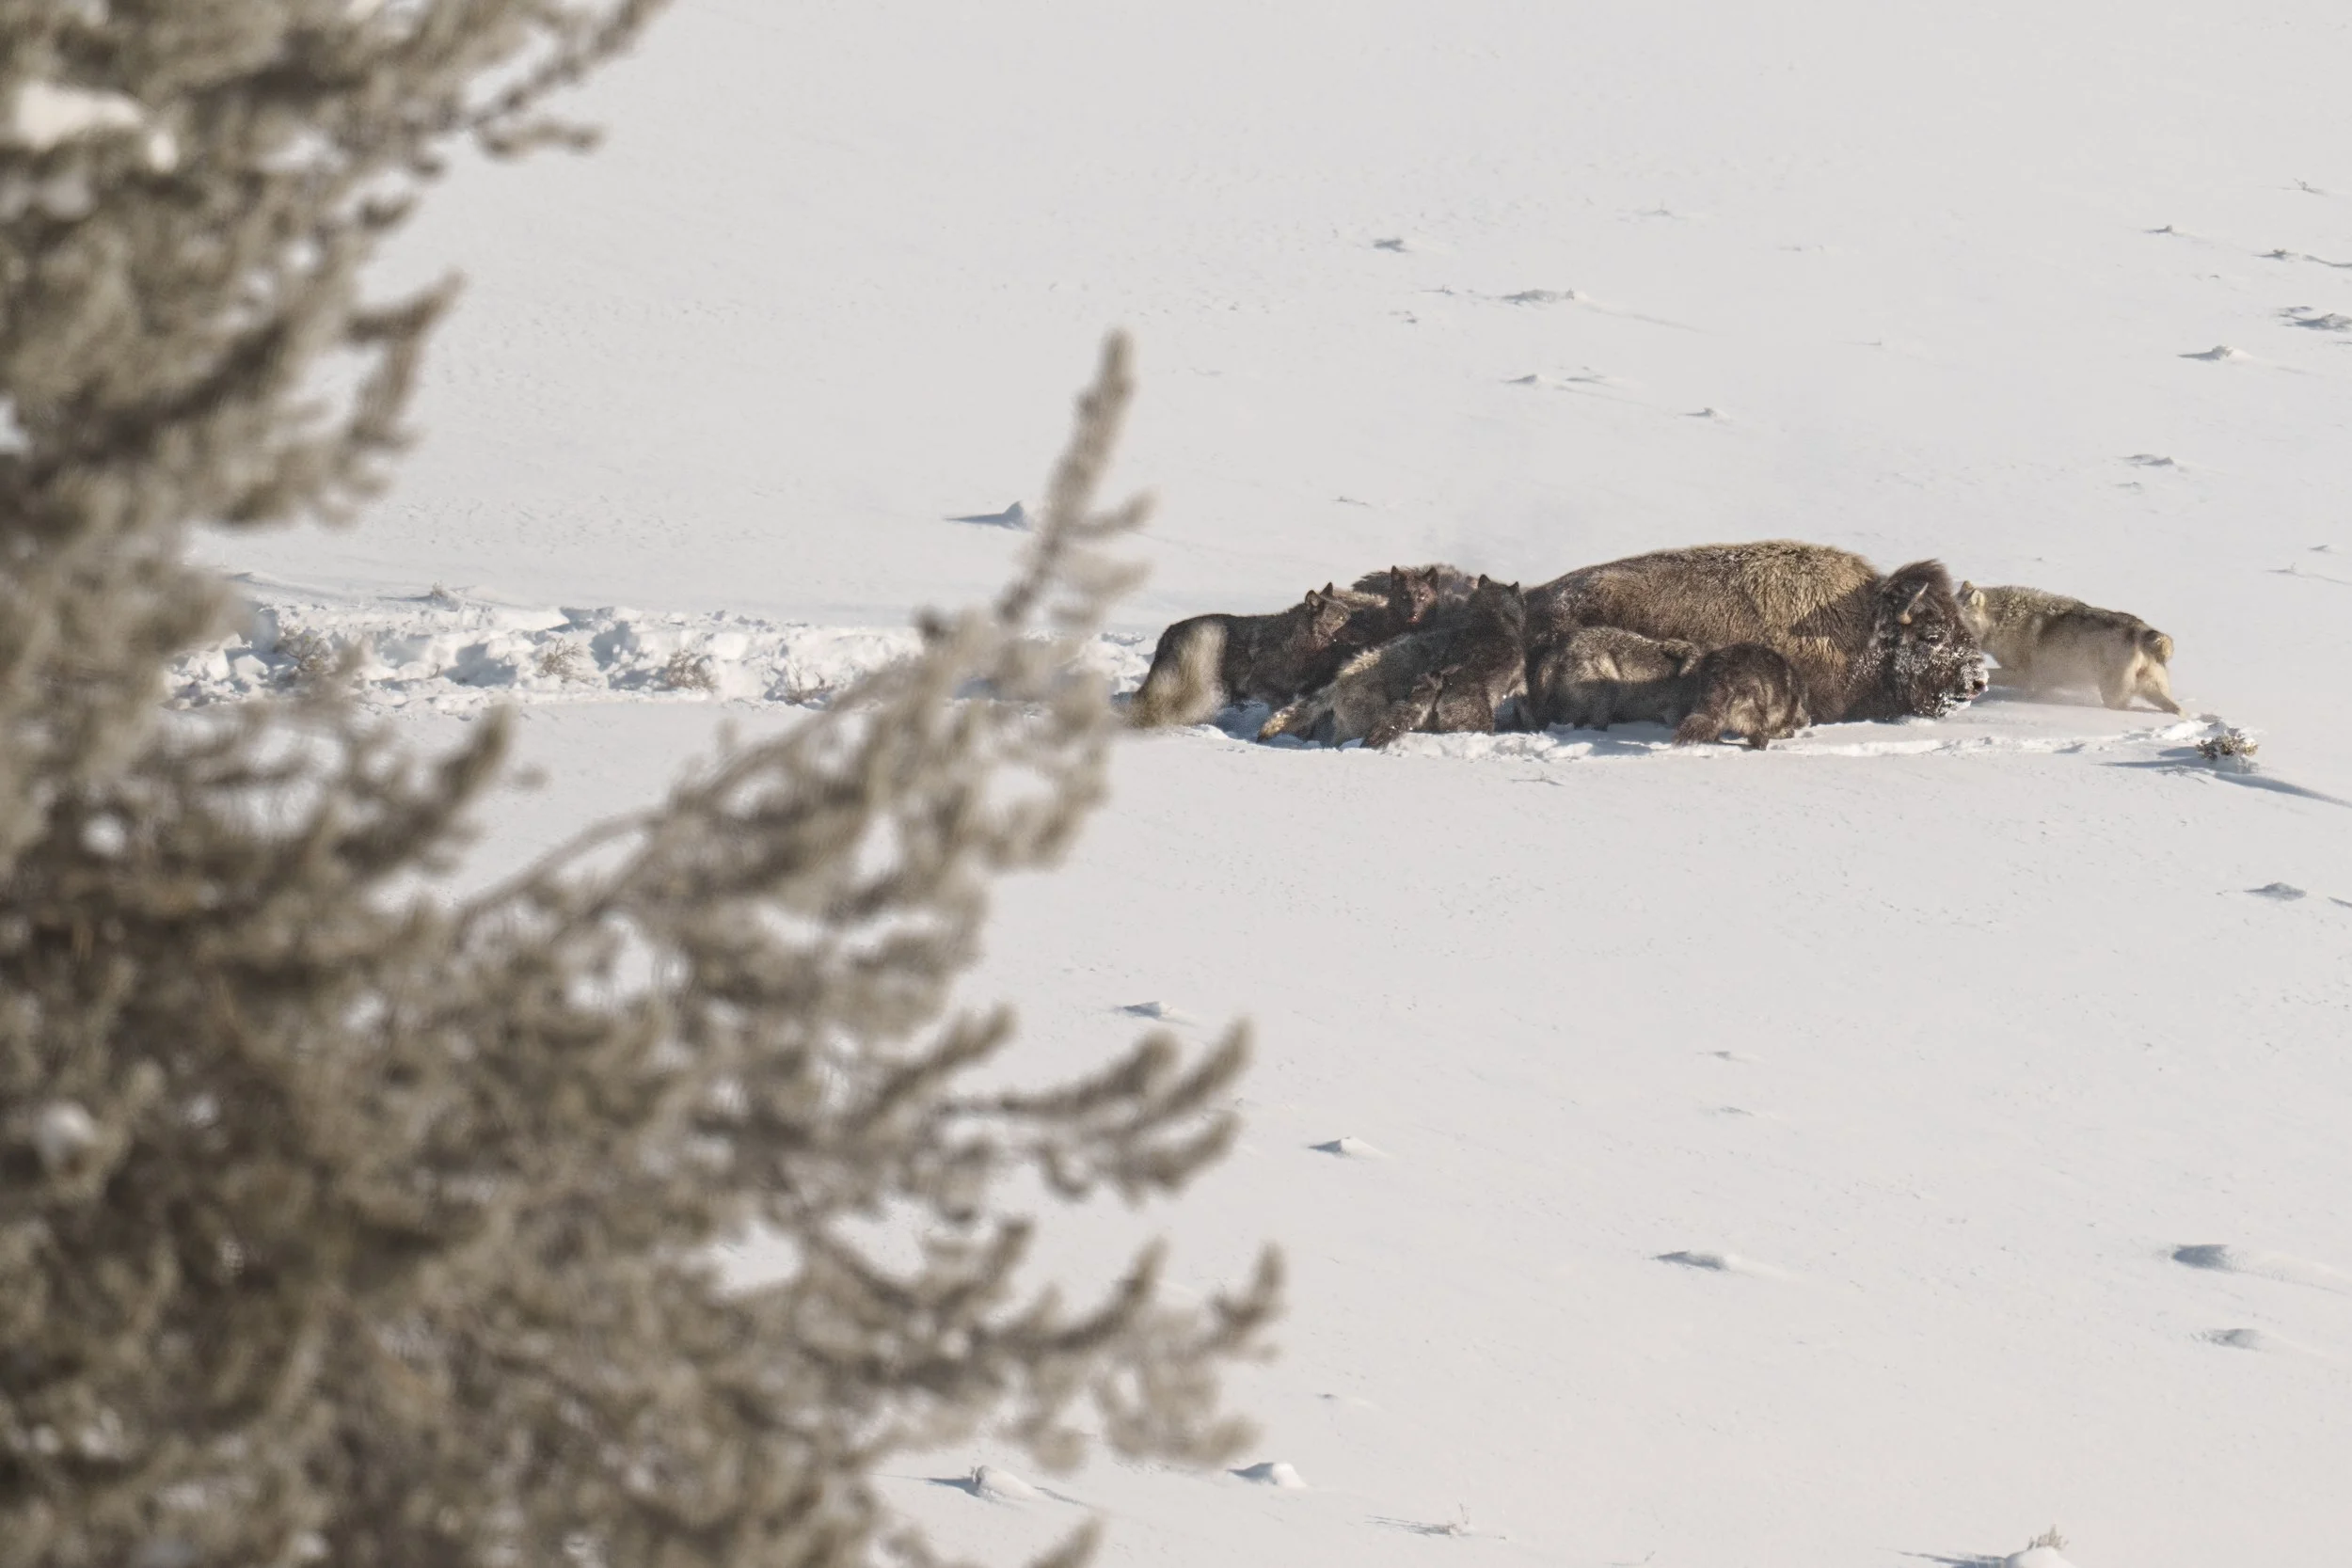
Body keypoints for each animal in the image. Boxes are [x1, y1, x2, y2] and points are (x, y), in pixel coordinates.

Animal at [1672, 643, 1810, 749]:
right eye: (1803, 704)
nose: (1807, 721)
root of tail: (1723, 677)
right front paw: (1785, 732)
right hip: (1751, 703)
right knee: (1757, 729)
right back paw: (1761, 743)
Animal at [1955, 582, 2182, 713]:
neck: (2002, 620)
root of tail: (2143, 630)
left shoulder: (2024, 676)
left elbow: (1991, 676)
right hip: (2150, 690)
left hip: (2113, 694)